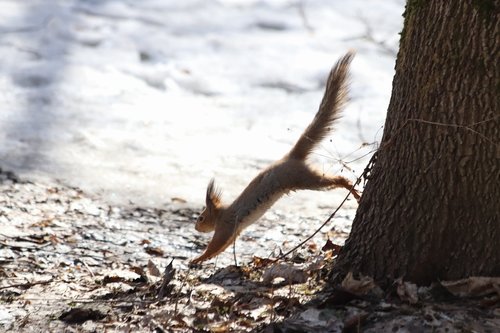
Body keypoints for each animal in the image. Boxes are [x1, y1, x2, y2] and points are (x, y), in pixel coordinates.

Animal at [191, 52, 360, 264]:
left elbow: (215, 246)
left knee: (337, 179)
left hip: (304, 178)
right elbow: (223, 247)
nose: (196, 227)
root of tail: (290, 157)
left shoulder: (226, 226)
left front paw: (197, 259)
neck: (222, 213)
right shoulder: (234, 232)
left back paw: (353, 190)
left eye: (201, 217)